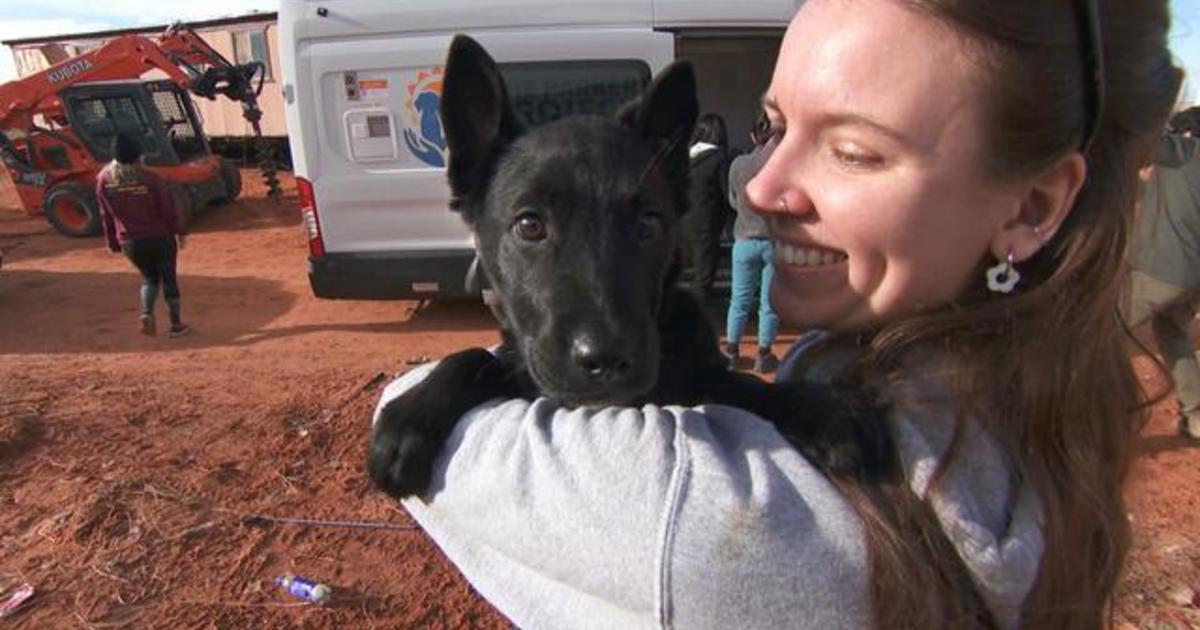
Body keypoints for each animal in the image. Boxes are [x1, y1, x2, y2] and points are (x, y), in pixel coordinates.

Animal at [367, 35, 892, 501]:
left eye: (647, 225)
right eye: (530, 225)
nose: (607, 360)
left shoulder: (699, 376)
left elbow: (739, 384)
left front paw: (821, 408)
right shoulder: (530, 370)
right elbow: (474, 355)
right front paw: (409, 418)